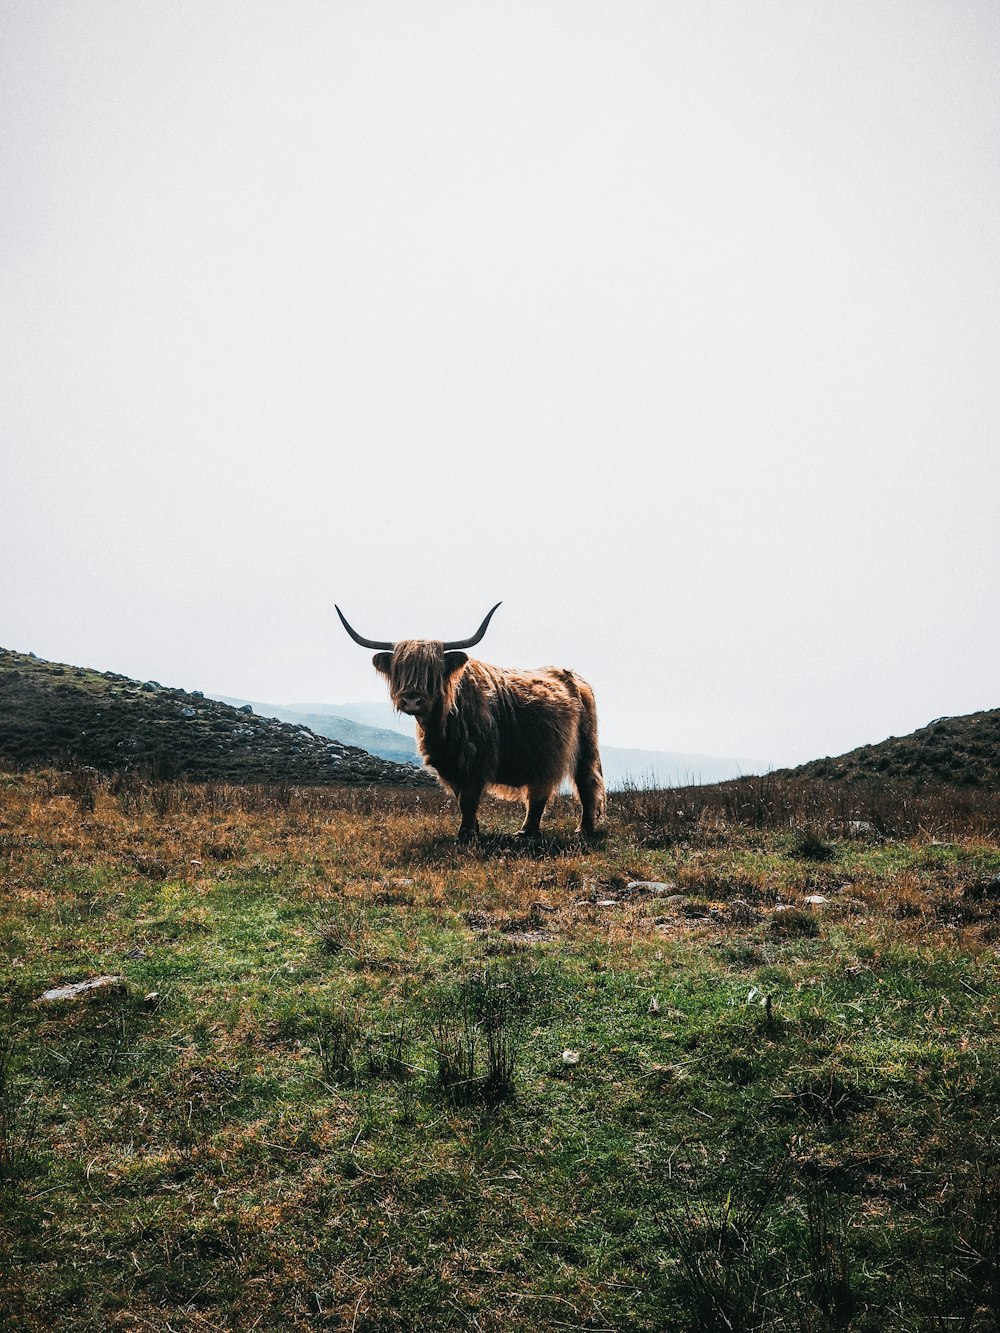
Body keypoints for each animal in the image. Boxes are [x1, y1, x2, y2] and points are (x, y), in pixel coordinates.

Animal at [337, 607, 608, 842]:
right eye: (400, 670)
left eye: (433, 672)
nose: (412, 699)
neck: (442, 727)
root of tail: (575, 678)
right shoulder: (450, 765)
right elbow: (461, 799)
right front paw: (473, 830)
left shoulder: (476, 761)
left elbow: (469, 799)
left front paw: (466, 835)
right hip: (540, 756)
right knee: (538, 793)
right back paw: (525, 832)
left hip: (584, 748)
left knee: (586, 783)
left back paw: (583, 829)